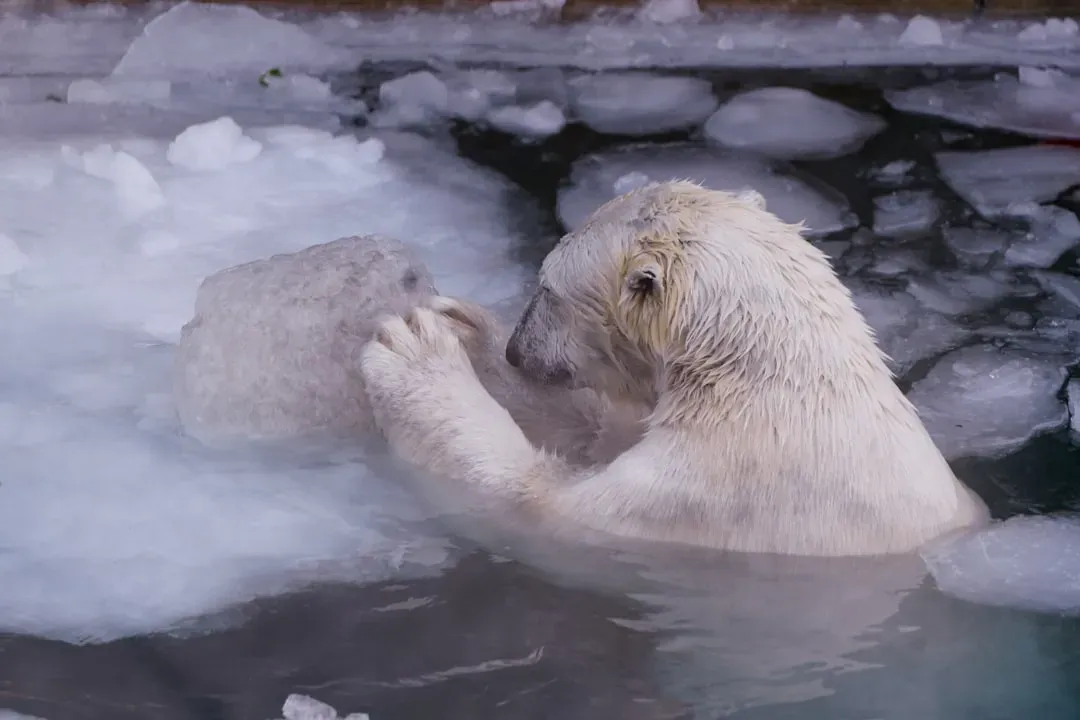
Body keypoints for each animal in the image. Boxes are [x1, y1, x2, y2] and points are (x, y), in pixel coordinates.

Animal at [359, 180, 989, 557]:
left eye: (548, 285)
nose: (518, 350)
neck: (770, 393)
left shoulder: (703, 494)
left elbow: (534, 501)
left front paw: (414, 352)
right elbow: (598, 433)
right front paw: (470, 330)